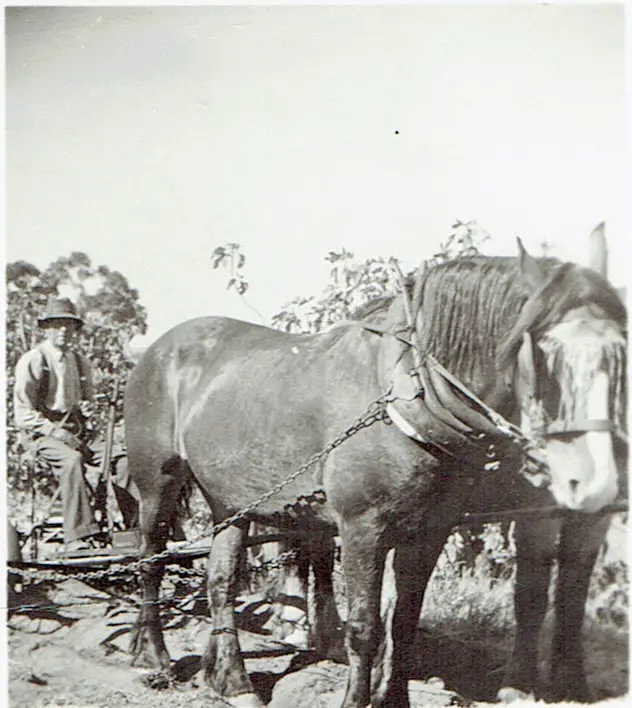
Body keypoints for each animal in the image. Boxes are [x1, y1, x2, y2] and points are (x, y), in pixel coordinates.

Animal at [125, 232, 626, 708]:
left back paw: (229, 679)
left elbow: (403, 622)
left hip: (230, 500)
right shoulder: (361, 529)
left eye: (619, 354)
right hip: (158, 485)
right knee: (151, 558)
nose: (597, 481)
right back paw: (154, 655)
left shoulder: (430, 531)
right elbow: (364, 626)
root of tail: (161, 347)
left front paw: (396, 697)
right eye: (543, 352)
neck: (409, 393)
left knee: (221, 580)